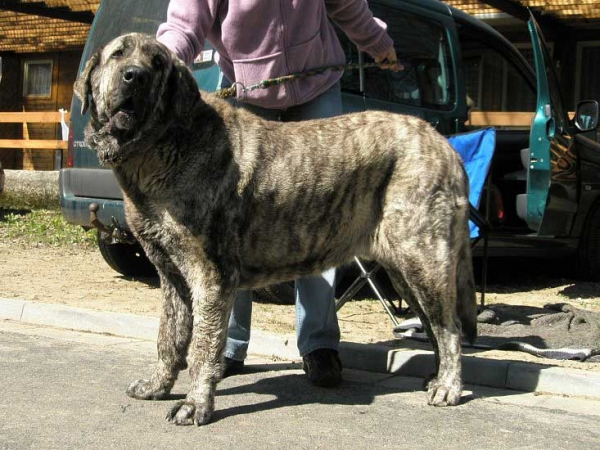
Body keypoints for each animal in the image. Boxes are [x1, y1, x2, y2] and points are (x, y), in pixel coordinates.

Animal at [75, 32, 478, 426]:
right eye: (118, 55)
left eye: (157, 63)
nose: (135, 76)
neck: (164, 143)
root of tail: (444, 145)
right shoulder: (172, 276)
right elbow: (169, 336)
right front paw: (158, 385)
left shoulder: (211, 277)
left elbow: (203, 347)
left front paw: (195, 405)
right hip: (403, 271)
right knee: (433, 324)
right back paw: (437, 378)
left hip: (422, 259)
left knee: (449, 326)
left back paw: (448, 387)